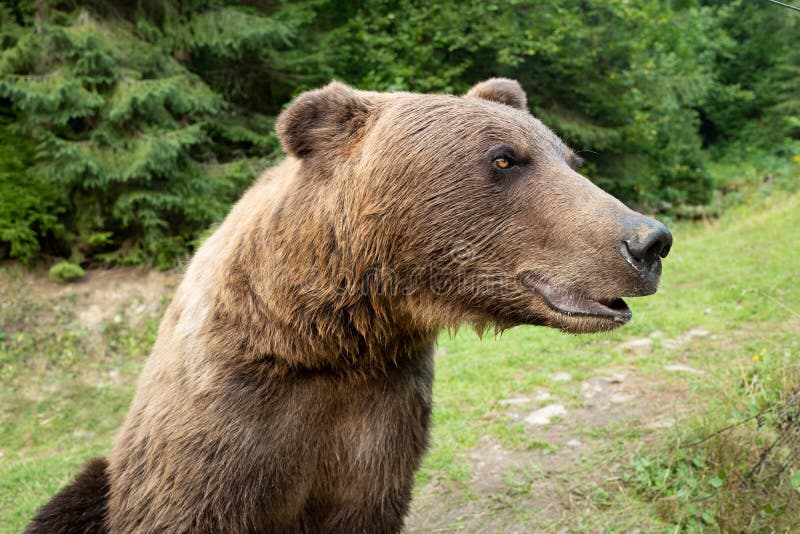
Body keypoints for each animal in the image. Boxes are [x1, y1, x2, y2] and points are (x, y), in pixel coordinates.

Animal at [26, 78, 671, 533]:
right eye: (505, 157)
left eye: (569, 158)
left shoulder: (379, 417)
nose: (649, 241)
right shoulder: (221, 428)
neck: (325, 339)